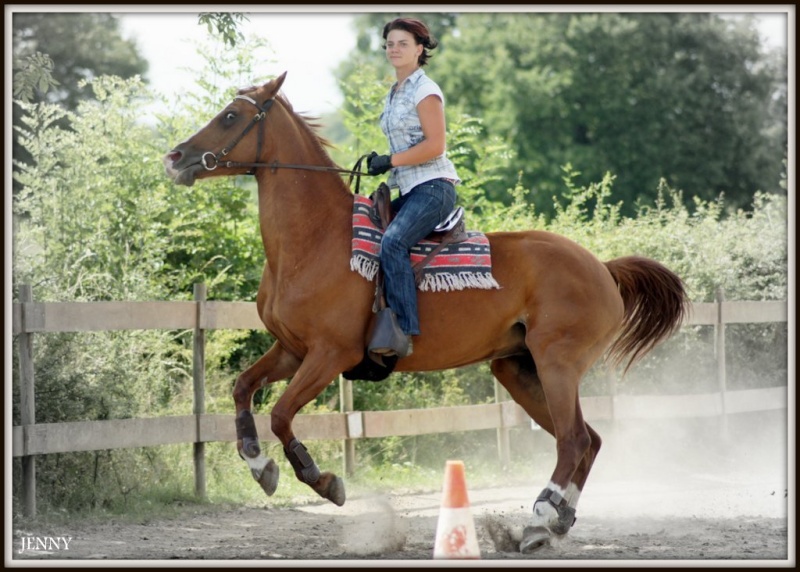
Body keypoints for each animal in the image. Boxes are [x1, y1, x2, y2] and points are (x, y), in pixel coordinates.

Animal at [162, 72, 688, 556]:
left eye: (231, 116)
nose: (176, 157)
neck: (316, 239)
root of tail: (603, 267)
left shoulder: (330, 354)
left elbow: (281, 414)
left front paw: (322, 479)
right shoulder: (291, 349)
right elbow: (243, 388)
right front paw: (260, 465)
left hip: (557, 364)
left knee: (574, 439)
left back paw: (540, 518)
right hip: (518, 369)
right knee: (589, 439)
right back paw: (552, 523)